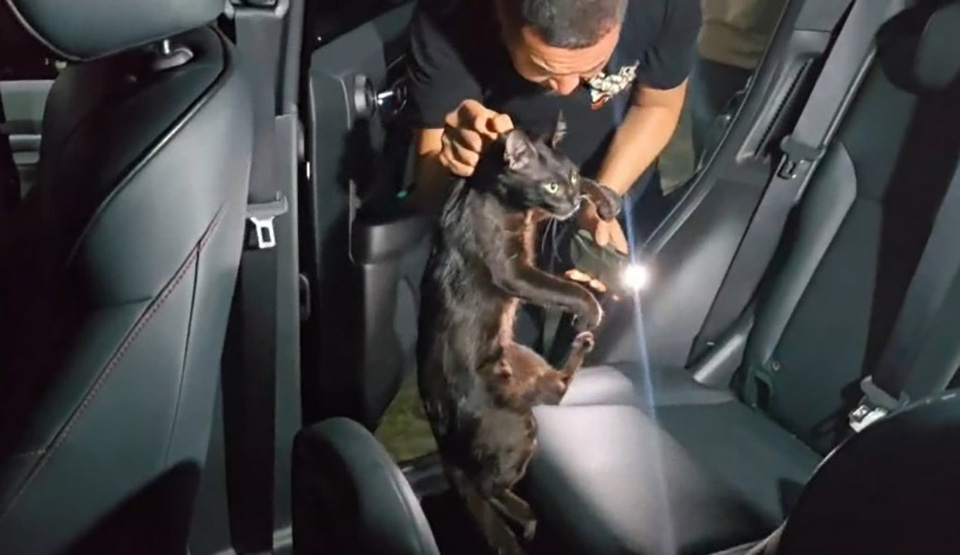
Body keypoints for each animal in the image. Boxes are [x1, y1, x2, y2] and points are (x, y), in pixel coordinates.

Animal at [416, 114, 622, 554]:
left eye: (570, 177)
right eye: (551, 186)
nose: (571, 200)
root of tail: (443, 442)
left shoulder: (535, 220)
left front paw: (603, 198)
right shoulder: (512, 269)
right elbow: (566, 289)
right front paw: (590, 309)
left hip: (523, 361)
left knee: (556, 390)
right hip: (515, 431)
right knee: (483, 486)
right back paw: (525, 517)